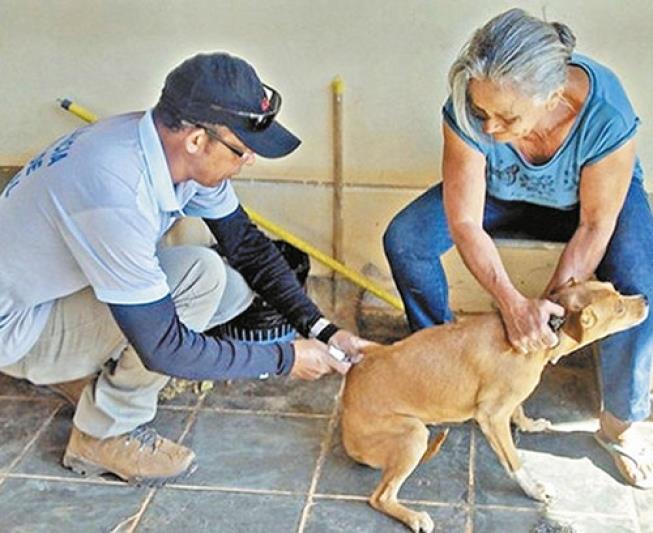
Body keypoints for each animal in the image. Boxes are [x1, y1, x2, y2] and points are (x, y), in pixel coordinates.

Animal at [342, 280, 648, 528]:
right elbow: (514, 460)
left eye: (615, 288)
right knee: (380, 497)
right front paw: (534, 489)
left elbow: (519, 409)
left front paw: (530, 425)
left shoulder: (507, 401)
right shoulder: (491, 416)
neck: (549, 329)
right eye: (619, 308)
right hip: (413, 435)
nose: (645, 298)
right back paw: (414, 517)